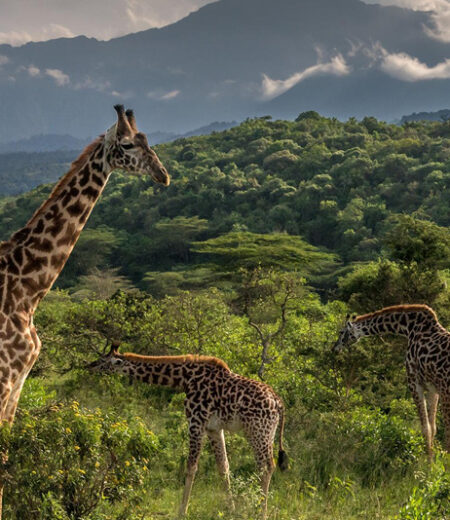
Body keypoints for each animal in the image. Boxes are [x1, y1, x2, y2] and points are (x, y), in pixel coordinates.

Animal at [0, 104, 170, 516]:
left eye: (147, 140)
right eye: (127, 144)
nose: (163, 175)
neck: (27, 289)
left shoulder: (19, 381)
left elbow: (6, 458)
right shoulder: (3, 377)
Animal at [87, 344, 288, 516]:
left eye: (104, 360)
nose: (89, 365)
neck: (185, 379)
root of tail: (278, 402)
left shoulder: (196, 421)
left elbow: (191, 466)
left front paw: (182, 511)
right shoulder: (214, 428)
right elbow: (223, 466)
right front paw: (230, 509)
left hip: (258, 432)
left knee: (266, 466)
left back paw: (261, 512)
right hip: (267, 433)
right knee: (265, 465)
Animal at [332, 304, 450, 460]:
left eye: (341, 332)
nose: (334, 348)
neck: (408, 328)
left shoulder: (414, 383)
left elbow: (426, 428)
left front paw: (428, 463)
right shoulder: (433, 388)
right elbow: (433, 428)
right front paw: (432, 460)